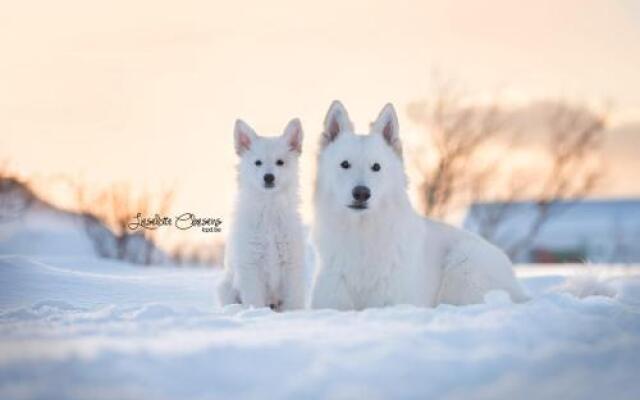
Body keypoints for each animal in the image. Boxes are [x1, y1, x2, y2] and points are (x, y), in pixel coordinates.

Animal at [219, 117, 306, 310]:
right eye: (257, 162)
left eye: (280, 162)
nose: (268, 177)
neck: (269, 210)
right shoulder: (251, 265)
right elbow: (255, 300)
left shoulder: (291, 265)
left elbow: (293, 301)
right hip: (225, 289)